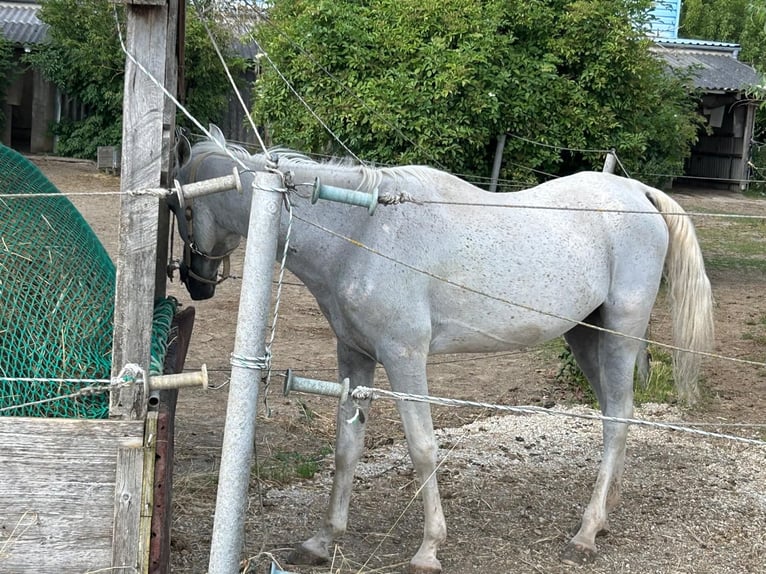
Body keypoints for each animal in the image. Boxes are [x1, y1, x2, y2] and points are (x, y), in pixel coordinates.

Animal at [172, 130, 712, 574]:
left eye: (181, 208)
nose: (196, 284)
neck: (362, 235)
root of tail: (636, 192)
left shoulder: (405, 358)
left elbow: (423, 448)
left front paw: (428, 549)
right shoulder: (355, 357)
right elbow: (347, 449)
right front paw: (322, 542)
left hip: (620, 333)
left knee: (618, 416)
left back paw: (585, 534)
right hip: (584, 336)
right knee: (614, 415)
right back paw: (604, 516)